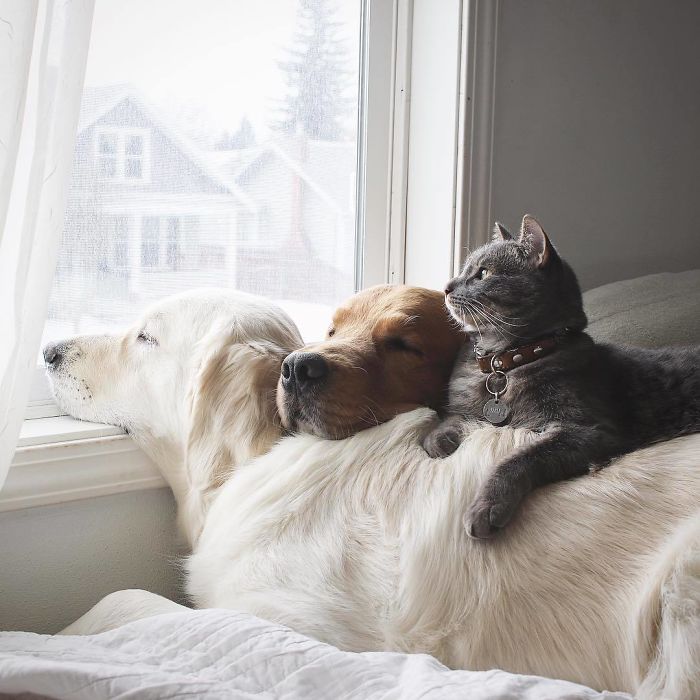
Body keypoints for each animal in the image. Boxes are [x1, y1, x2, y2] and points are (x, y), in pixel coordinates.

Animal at [424, 215, 696, 540]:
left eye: (484, 273)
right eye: (465, 269)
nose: (446, 287)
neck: (505, 362)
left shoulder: (590, 431)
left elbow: (518, 458)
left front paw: (487, 504)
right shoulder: (463, 409)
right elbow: (448, 421)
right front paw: (439, 440)